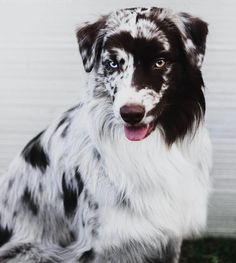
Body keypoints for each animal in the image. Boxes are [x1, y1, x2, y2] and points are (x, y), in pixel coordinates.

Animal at [0, 6, 212, 263]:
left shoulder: (169, 237)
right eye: (112, 64)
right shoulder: (101, 244)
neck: (146, 148)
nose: (131, 114)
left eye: (160, 62)